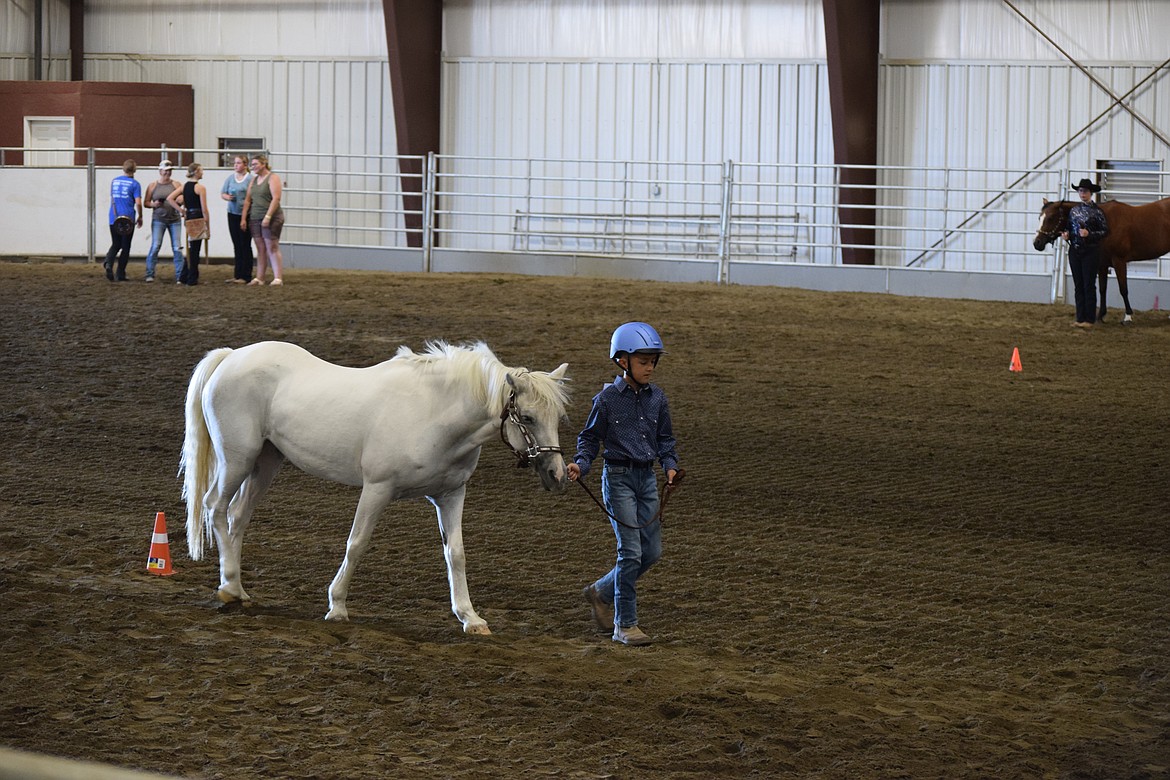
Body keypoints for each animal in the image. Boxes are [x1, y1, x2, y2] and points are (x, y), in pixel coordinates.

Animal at [176, 341, 570, 636]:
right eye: (528, 417)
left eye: (559, 417)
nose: (557, 474)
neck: (434, 412)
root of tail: (231, 356)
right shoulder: (377, 489)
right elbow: (357, 543)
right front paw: (337, 607)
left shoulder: (451, 494)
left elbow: (455, 554)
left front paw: (470, 618)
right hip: (238, 459)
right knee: (215, 507)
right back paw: (229, 589)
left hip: (267, 462)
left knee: (238, 517)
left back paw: (239, 589)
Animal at [1034, 199, 1170, 325]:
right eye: (1039, 217)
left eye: (1051, 218)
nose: (1037, 243)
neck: (1105, 223)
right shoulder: (1102, 264)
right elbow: (1102, 289)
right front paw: (1100, 316)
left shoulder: (1119, 261)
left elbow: (1123, 289)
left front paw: (1127, 316)